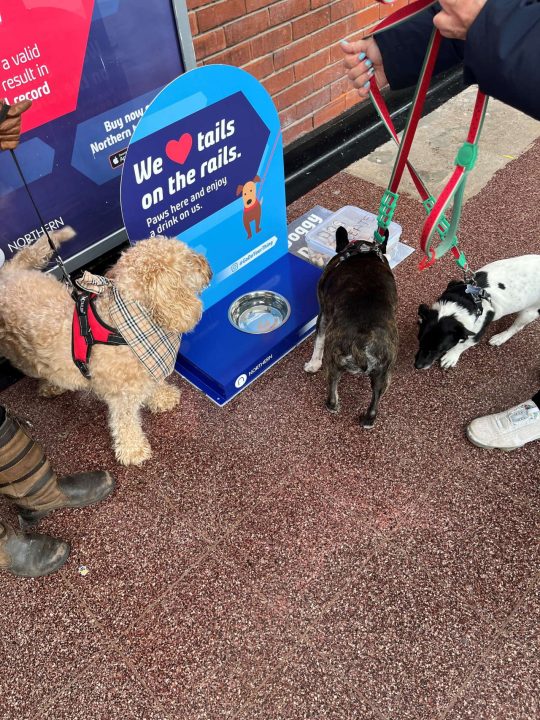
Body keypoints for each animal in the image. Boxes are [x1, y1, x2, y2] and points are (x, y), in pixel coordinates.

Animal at [0, 231, 211, 466]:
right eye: (189, 259)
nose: (208, 266)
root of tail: (8, 274)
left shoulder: (145, 368)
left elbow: (153, 384)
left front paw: (162, 397)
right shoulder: (122, 396)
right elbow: (126, 422)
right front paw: (133, 449)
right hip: (19, 353)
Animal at [306, 228, 398, 424]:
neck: (363, 251)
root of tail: (363, 345)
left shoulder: (323, 314)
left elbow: (318, 341)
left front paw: (313, 364)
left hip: (333, 360)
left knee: (332, 395)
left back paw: (333, 405)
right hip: (384, 374)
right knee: (374, 405)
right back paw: (367, 420)